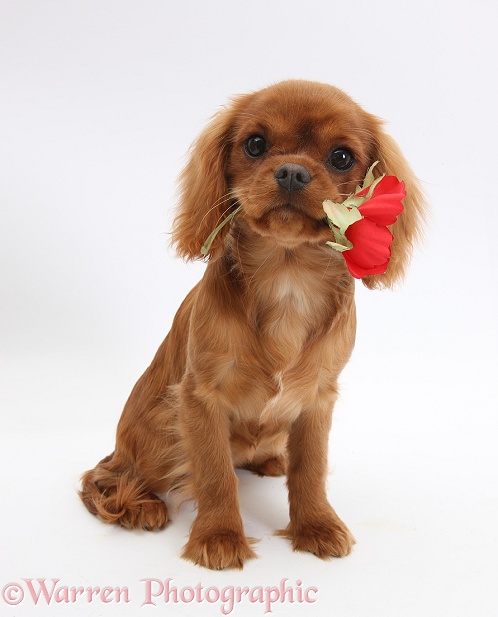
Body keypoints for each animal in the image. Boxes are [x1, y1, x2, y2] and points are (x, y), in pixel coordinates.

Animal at [79, 80, 424, 568]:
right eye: (255, 144)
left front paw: (316, 525)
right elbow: (215, 473)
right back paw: (139, 505)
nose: (292, 172)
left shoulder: (317, 398)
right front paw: (219, 536)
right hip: (156, 439)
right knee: (103, 477)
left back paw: (270, 459)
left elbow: (311, 469)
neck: (287, 276)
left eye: (341, 156)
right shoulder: (201, 397)